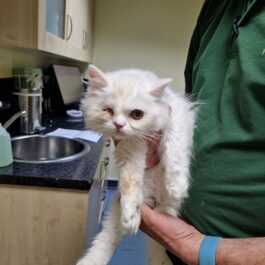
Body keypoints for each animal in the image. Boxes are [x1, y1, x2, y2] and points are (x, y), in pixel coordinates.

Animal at [75, 65, 195, 264]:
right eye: (108, 110)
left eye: (137, 114)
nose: (118, 125)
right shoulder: (131, 146)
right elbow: (130, 181)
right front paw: (130, 212)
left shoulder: (178, 113)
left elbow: (174, 149)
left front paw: (177, 186)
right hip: (120, 208)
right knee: (107, 238)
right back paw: (128, 222)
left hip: (164, 205)